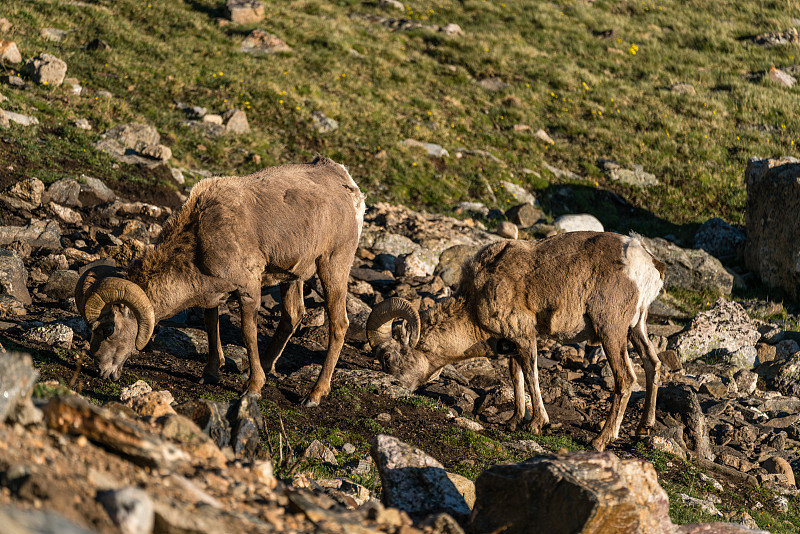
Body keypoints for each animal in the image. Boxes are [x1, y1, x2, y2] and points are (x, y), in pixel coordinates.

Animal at [76, 157, 366, 408]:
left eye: (109, 329)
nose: (100, 369)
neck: (201, 236)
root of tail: (347, 184)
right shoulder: (214, 295)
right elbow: (210, 325)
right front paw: (211, 374)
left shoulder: (249, 289)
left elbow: (247, 334)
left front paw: (253, 388)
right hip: (292, 276)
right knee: (293, 316)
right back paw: (265, 368)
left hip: (332, 265)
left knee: (339, 325)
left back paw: (314, 395)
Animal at [366, 232, 664, 454]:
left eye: (388, 358)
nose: (394, 388)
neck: (475, 302)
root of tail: (647, 264)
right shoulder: (513, 342)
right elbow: (516, 375)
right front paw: (513, 421)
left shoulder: (525, 336)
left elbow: (531, 375)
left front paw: (537, 424)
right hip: (636, 328)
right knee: (653, 364)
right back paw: (643, 430)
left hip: (611, 331)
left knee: (626, 378)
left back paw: (600, 441)